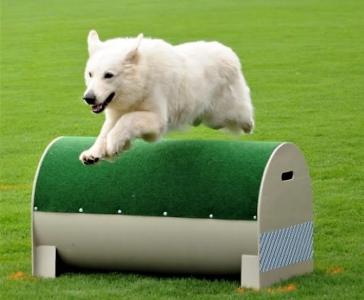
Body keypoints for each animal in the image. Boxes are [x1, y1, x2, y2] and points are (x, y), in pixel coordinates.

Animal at [80, 30, 256, 164]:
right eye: (90, 74)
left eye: (108, 75)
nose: (88, 98)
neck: (141, 82)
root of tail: (229, 52)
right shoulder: (116, 114)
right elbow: (105, 131)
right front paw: (94, 152)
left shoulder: (157, 120)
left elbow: (127, 120)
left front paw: (113, 142)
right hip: (210, 119)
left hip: (221, 115)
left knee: (243, 114)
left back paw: (249, 126)